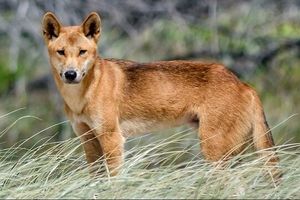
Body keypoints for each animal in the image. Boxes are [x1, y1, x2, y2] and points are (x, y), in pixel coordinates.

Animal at [41, 11, 280, 177]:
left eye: (82, 52)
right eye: (61, 52)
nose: (71, 74)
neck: (82, 96)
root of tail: (244, 84)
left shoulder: (112, 139)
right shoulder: (88, 140)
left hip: (213, 150)